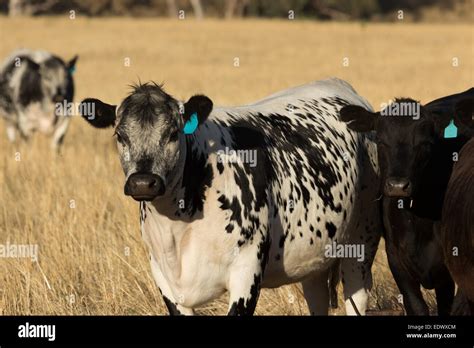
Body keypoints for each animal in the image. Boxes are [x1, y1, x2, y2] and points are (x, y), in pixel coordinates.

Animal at [78, 78, 382, 316]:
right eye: (120, 135)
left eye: (173, 134)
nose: (143, 182)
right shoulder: (166, 281)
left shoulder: (246, 271)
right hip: (315, 256)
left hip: (362, 241)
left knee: (357, 294)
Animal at [340, 87, 474, 316]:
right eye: (381, 141)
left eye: (425, 143)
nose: (397, 186)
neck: (416, 220)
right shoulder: (396, 260)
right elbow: (416, 307)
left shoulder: (448, 273)